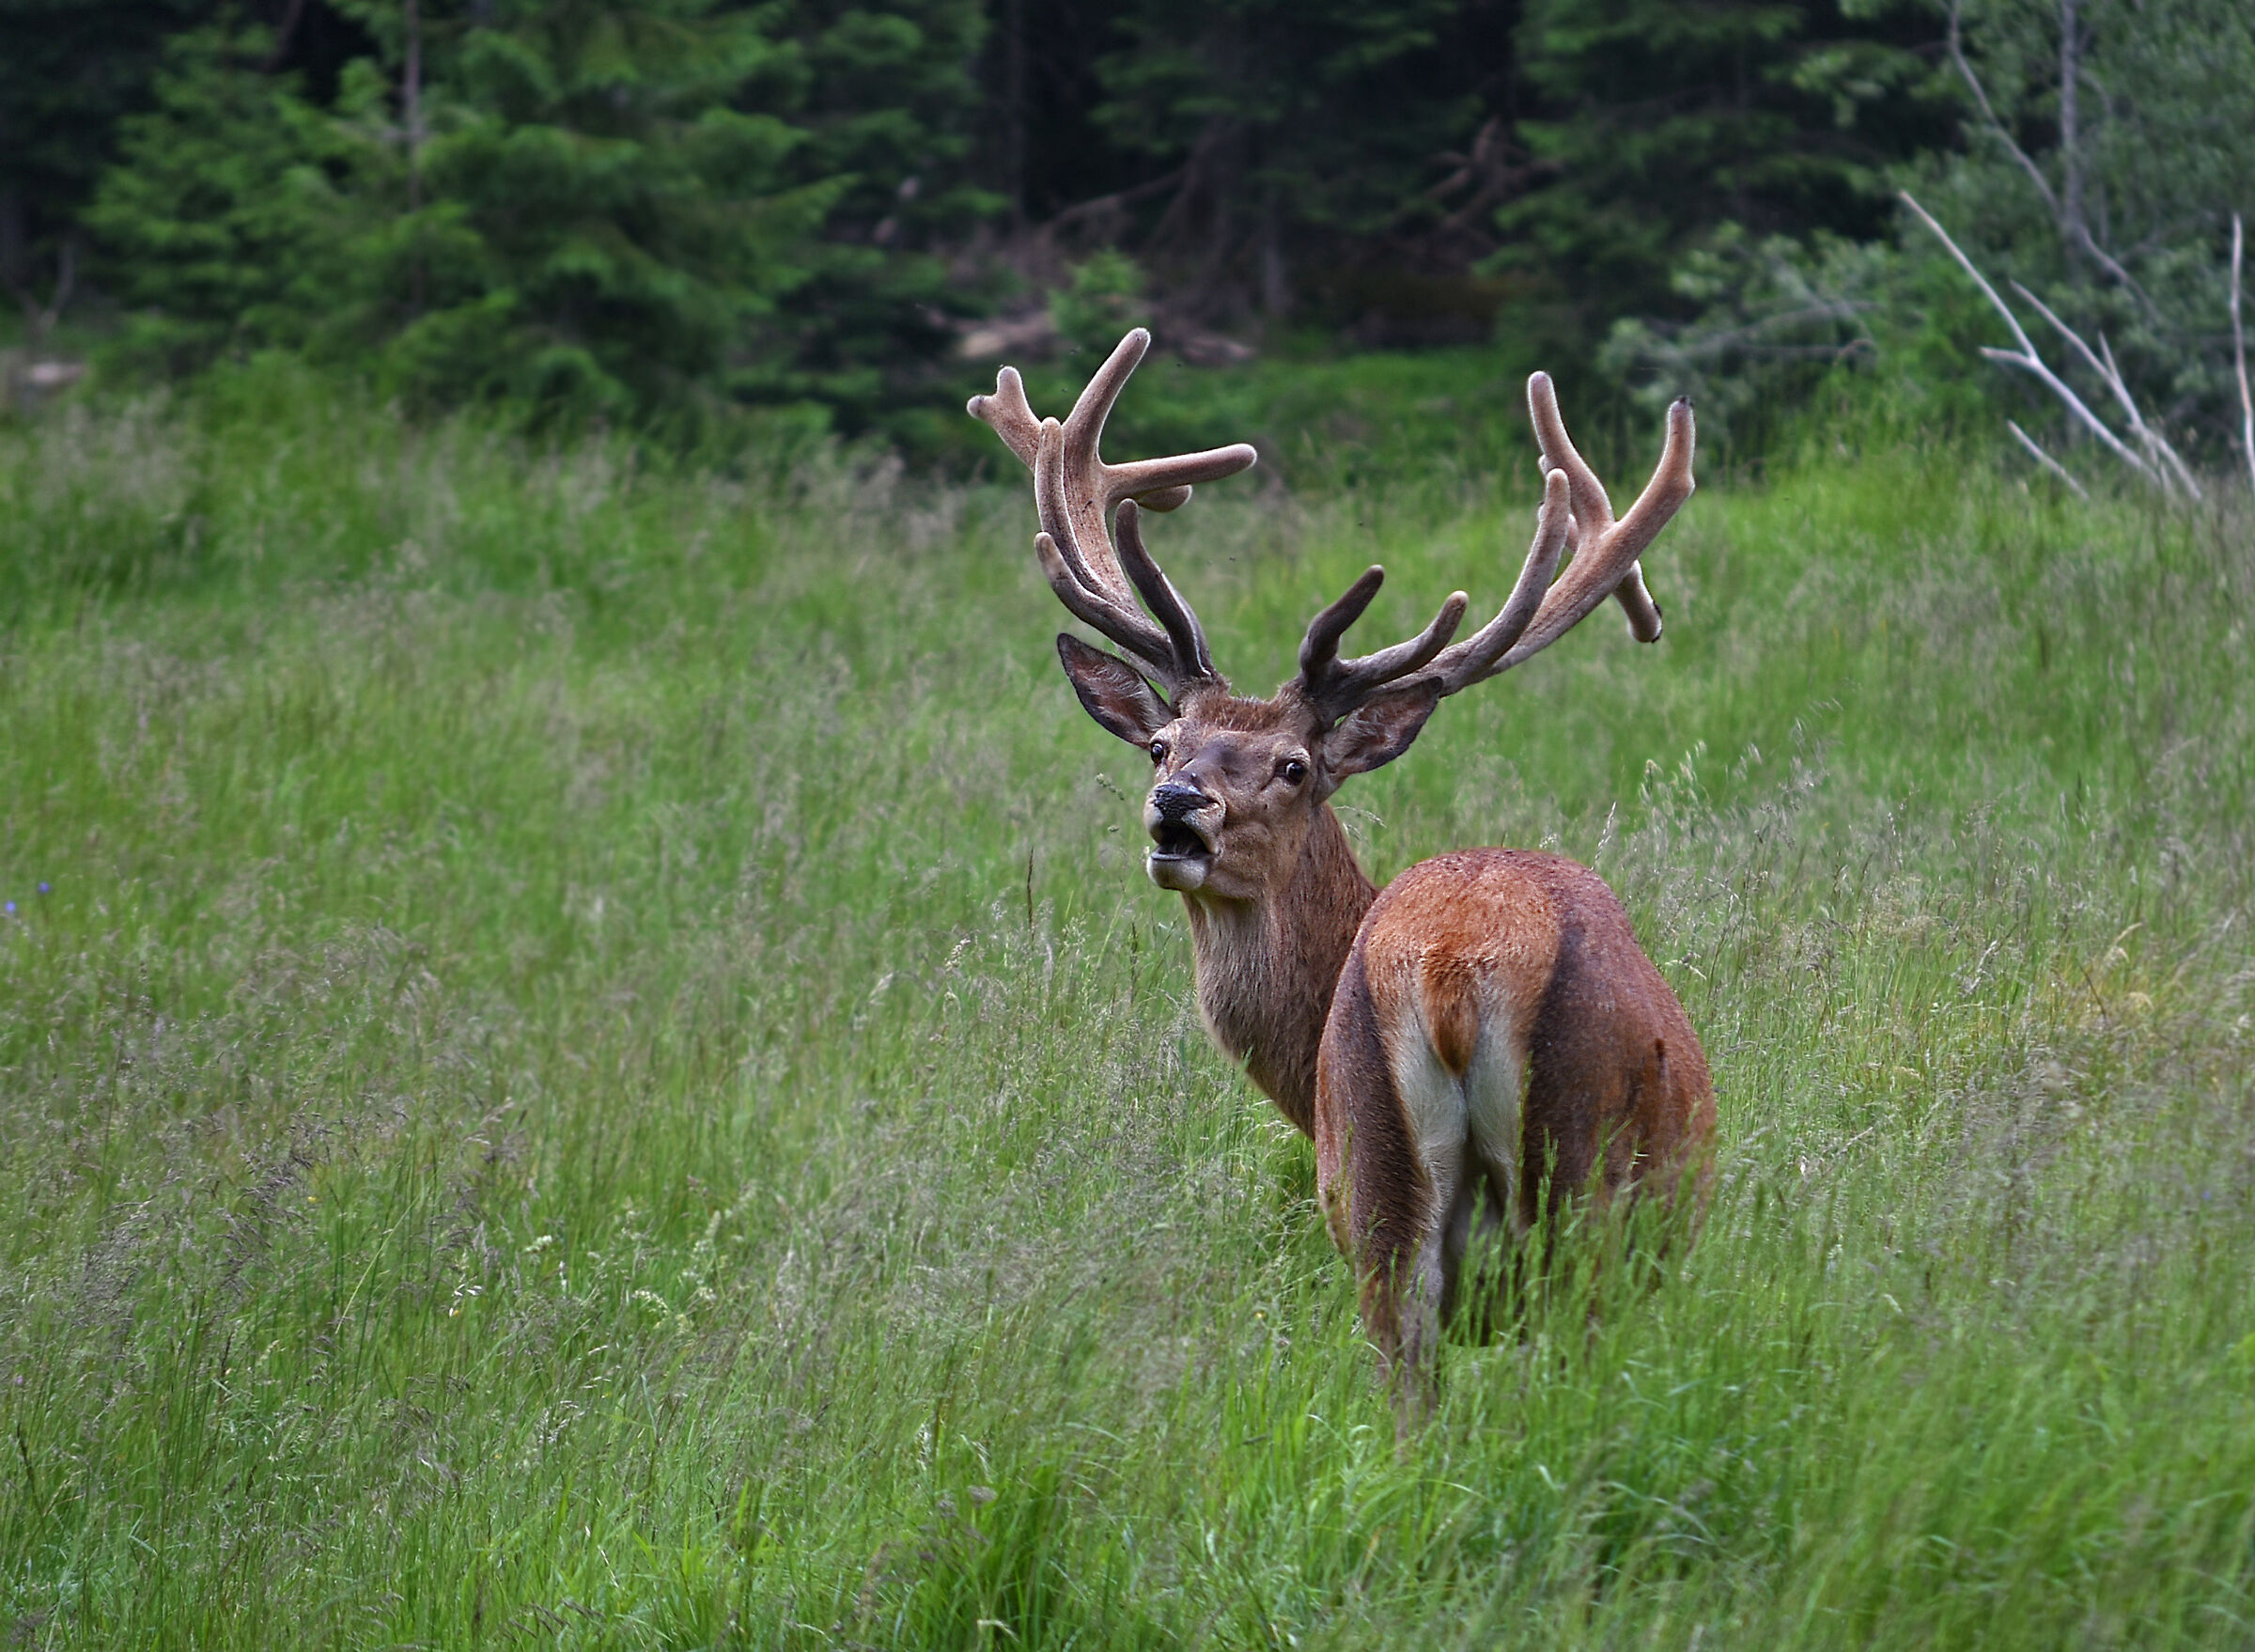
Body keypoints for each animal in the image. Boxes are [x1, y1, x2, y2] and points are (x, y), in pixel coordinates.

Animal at [967, 329, 1716, 1415]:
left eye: (1293, 766)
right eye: (1161, 744)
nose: (1178, 805)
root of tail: (1450, 970)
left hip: (1386, 1192)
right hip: (1577, 1189)